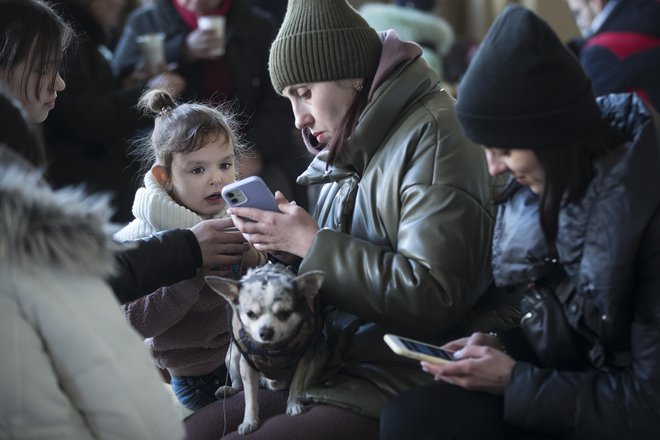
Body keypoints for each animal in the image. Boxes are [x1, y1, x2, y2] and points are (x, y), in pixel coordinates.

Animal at [205, 262, 326, 434]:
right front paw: (250, 420)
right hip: (232, 356)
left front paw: (294, 404)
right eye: (250, 314)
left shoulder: (304, 359)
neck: (273, 348)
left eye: (285, 313)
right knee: (239, 385)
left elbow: (297, 384)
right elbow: (250, 396)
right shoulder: (247, 365)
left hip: (318, 358)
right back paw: (230, 389)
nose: (265, 332)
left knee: (304, 384)